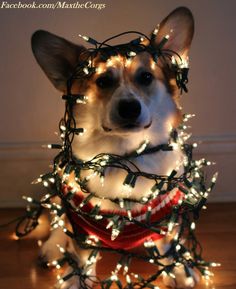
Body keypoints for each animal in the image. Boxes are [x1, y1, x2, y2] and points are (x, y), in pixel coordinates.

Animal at [16, 10, 219, 288]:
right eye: (102, 81)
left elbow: (168, 246)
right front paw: (77, 278)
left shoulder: (165, 216)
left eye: (146, 77)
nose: (129, 108)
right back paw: (52, 249)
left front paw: (180, 271)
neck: (126, 158)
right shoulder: (82, 220)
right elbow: (82, 254)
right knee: (57, 218)